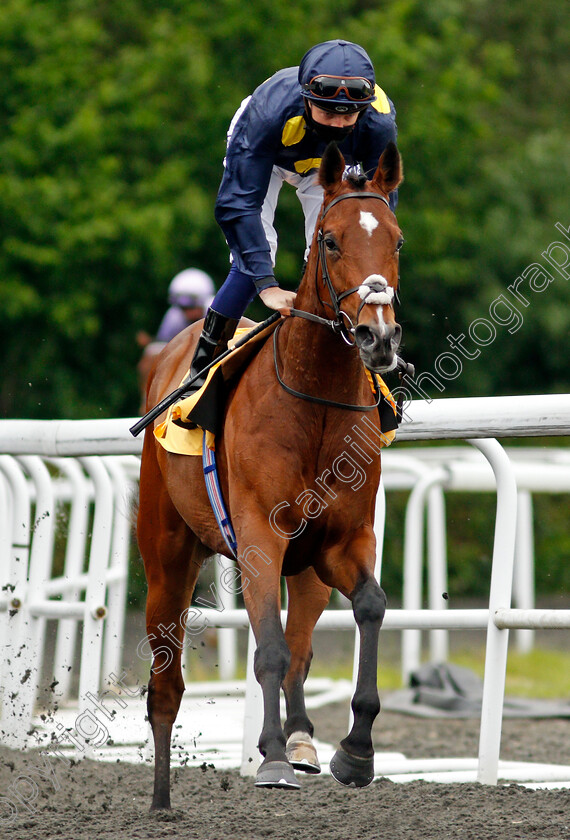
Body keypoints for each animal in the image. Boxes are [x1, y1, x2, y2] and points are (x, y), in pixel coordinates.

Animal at [136, 141, 404, 812]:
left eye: (396, 239)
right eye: (330, 241)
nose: (378, 334)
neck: (315, 403)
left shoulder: (342, 540)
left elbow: (370, 606)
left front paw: (354, 751)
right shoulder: (260, 533)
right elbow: (270, 649)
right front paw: (274, 758)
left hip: (305, 568)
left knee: (305, 643)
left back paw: (305, 739)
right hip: (167, 555)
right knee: (166, 682)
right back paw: (161, 798)